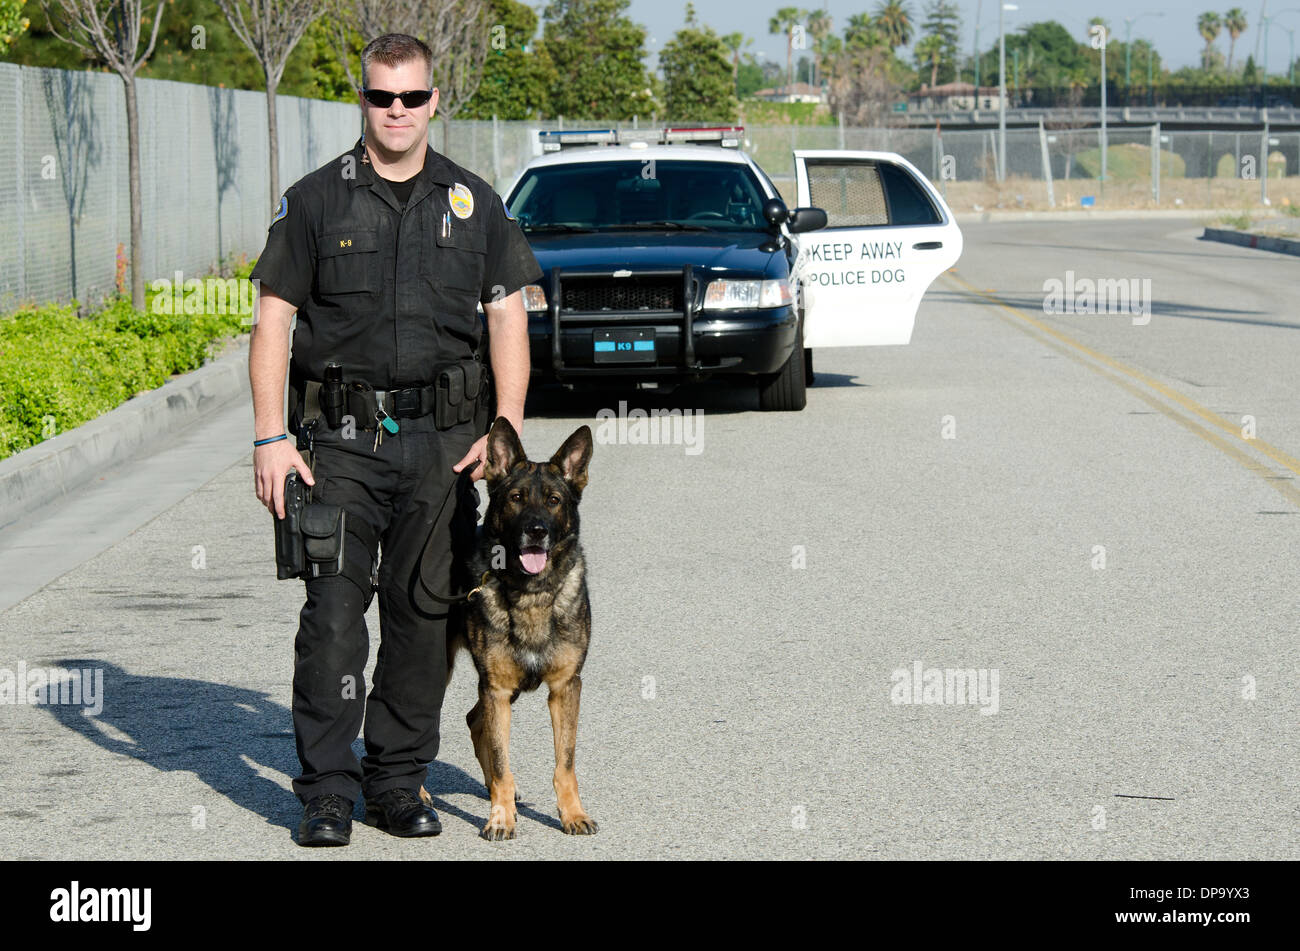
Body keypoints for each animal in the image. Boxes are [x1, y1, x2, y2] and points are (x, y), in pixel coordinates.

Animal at [418, 415, 595, 841]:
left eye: (553, 501)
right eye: (515, 497)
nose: (536, 531)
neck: (530, 593)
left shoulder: (565, 689)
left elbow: (565, 764)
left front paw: (572, 814)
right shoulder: (496, 688)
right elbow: (501, 762)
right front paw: (500, 818)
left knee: (474, 719)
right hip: (440, 671)